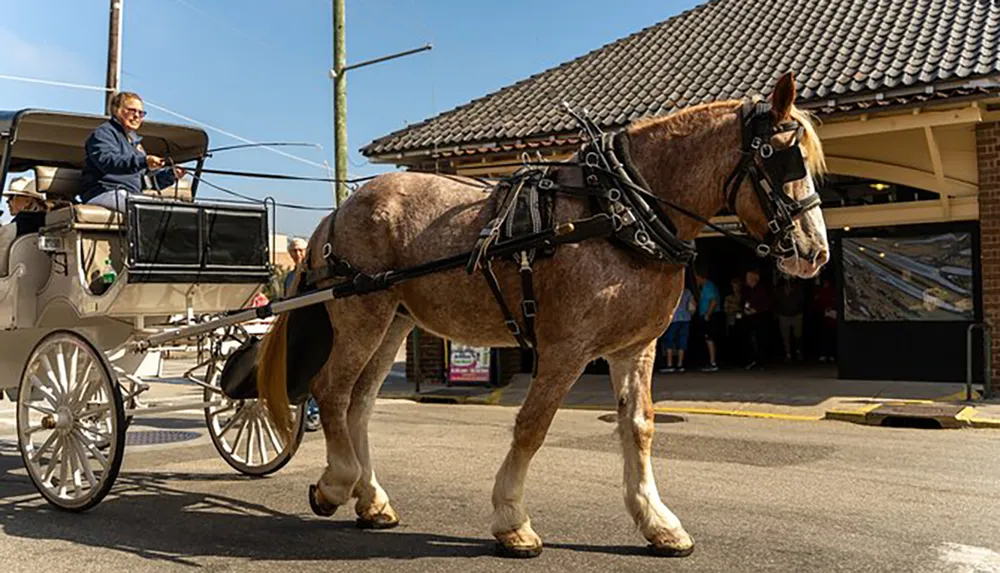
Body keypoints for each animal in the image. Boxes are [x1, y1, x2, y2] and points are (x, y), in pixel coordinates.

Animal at [256, 72, 828, 560]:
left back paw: (372, 498)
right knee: (332, 391)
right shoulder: (565, 348)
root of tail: (340, 209)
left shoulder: (635, 348)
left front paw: (657, 522)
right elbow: (533, 426)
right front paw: (512, 520)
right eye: (784, 158)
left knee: (360, 404)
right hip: (361, 312)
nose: (815, 252)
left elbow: (638, 427)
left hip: (394, 320)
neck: (619, 212)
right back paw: (336, 483)